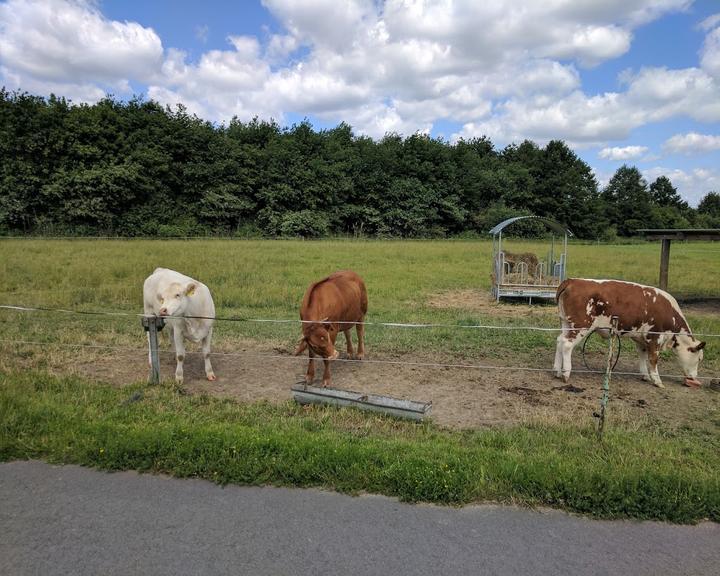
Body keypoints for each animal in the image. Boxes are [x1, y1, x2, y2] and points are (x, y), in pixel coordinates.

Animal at [556, 278, 704, 390]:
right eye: (699, 358)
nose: (694, 377)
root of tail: (573, 280)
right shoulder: (654, 337)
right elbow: (653, 359)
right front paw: (657, 381)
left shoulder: (641, 338)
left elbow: (642, 355)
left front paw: (645, 375)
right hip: (581, 326)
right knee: (567, 344)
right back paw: (565, 373)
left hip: (566, 323)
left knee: (559, 341)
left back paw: (557, 370)